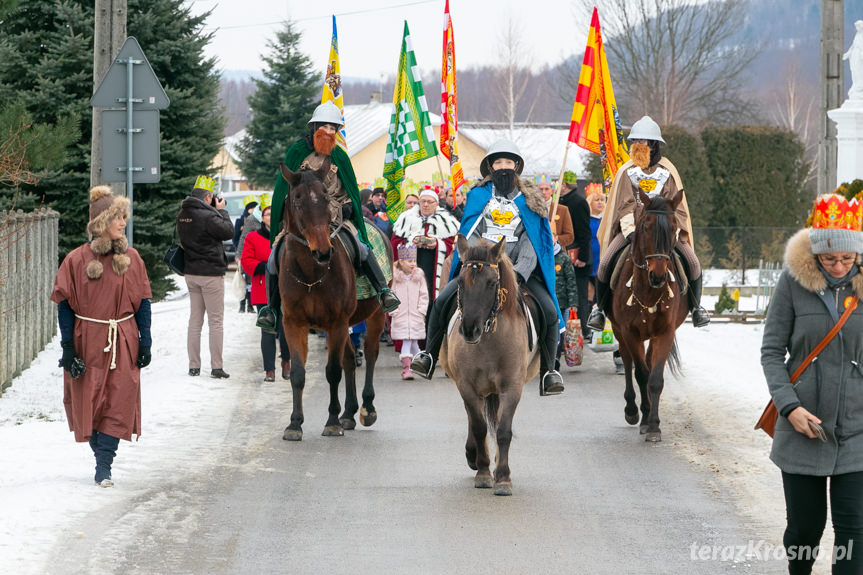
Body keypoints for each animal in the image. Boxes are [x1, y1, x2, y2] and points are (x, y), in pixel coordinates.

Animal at [276, 162, 388, 440]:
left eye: (326, 197)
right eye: (297, 199)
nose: (323, 251)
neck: (311, 274)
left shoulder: (336, 322)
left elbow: (333, 371)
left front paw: (331, 421)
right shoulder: (294, 323)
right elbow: (298, 373)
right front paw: (295, 424)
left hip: (375, 316)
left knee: (370, 354)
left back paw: (366, 408)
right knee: (349, 358)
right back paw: (348, 412)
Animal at [442, 234, 536, 496]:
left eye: (493, 283)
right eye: (460, 282)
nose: (469, 330)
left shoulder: (512, 387)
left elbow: (503, 431)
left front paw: (503, 478)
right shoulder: (467, 386)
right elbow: (479, 427)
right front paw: (483, 473)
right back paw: (474, 456)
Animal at [608, 191, 688, 444]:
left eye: (674, 227)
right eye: (645, 226)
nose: (658, 276)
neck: (647, 292)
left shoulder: (665, 333)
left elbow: (655, 378)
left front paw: (654, 424)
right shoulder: (629, 332)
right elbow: (641, 374)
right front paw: (643, 417)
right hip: (619, 332)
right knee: (627, 361)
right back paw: (633, 410)